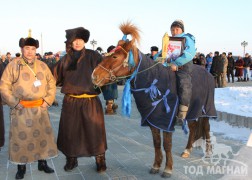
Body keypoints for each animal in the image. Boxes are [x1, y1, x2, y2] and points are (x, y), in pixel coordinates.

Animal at [91, 21, 218, 178]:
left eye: (114, 57)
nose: (94, 75)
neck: (155, 82)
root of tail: (208, 74)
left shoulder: (166, 122)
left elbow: (167, 145)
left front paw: (168, 168)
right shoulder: (153, 120)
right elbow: (157, 143)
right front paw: (156, 166)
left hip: (205, 111)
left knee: (206, 128)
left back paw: (208, 153)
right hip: (193, 111)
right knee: (194, 127)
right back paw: (187, 150)